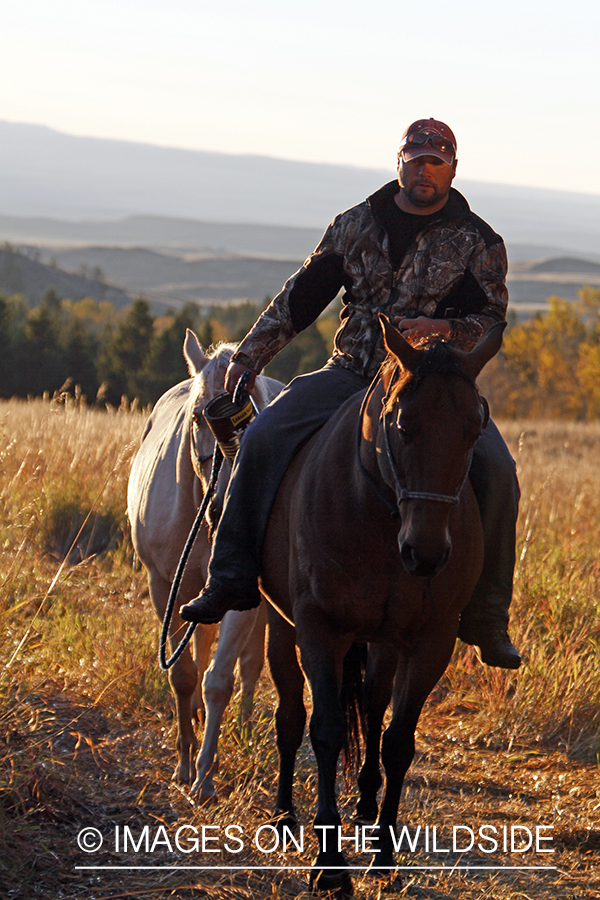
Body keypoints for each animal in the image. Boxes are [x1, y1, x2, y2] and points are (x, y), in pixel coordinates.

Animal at [127, 331, 282, 797]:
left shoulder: (240, 598)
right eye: (198, 418)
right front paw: (183, 762)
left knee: (248, 666)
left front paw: (205, 774)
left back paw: (245, 731)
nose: (226, 505)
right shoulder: (165, 586)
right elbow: (182, 674)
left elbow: (220, 679)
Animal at [261, 315, 505, 893]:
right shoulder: (320, 628)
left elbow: (397, 741)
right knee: (289, 714)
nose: (427, 553)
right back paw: (284, 815)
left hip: (383, 641)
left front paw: (384, 855)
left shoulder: (430, 641)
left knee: (372, 707)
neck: (378, 517)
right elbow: (324, 730)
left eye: (473, 429)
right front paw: (329, 867)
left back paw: (366, 807)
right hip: (281, 626)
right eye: (402, 425)